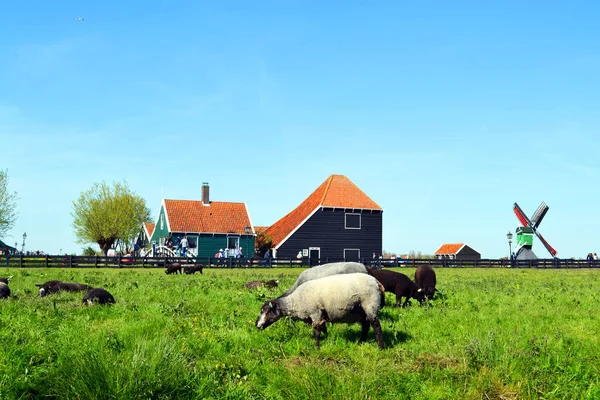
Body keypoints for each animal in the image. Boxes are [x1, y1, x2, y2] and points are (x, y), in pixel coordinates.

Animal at [255, 274, 386, 348]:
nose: (256, 325)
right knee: (366, 325)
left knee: (376, 326)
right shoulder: (321, 314)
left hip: (370, 303)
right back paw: (361, 342)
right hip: (362, 310)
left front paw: (316, 347)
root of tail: (376, 282)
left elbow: (317, 331)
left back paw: (381, 347)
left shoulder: (315, 312)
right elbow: (324, 328)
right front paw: (327, 339)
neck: (295, 301)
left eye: (265, 311)